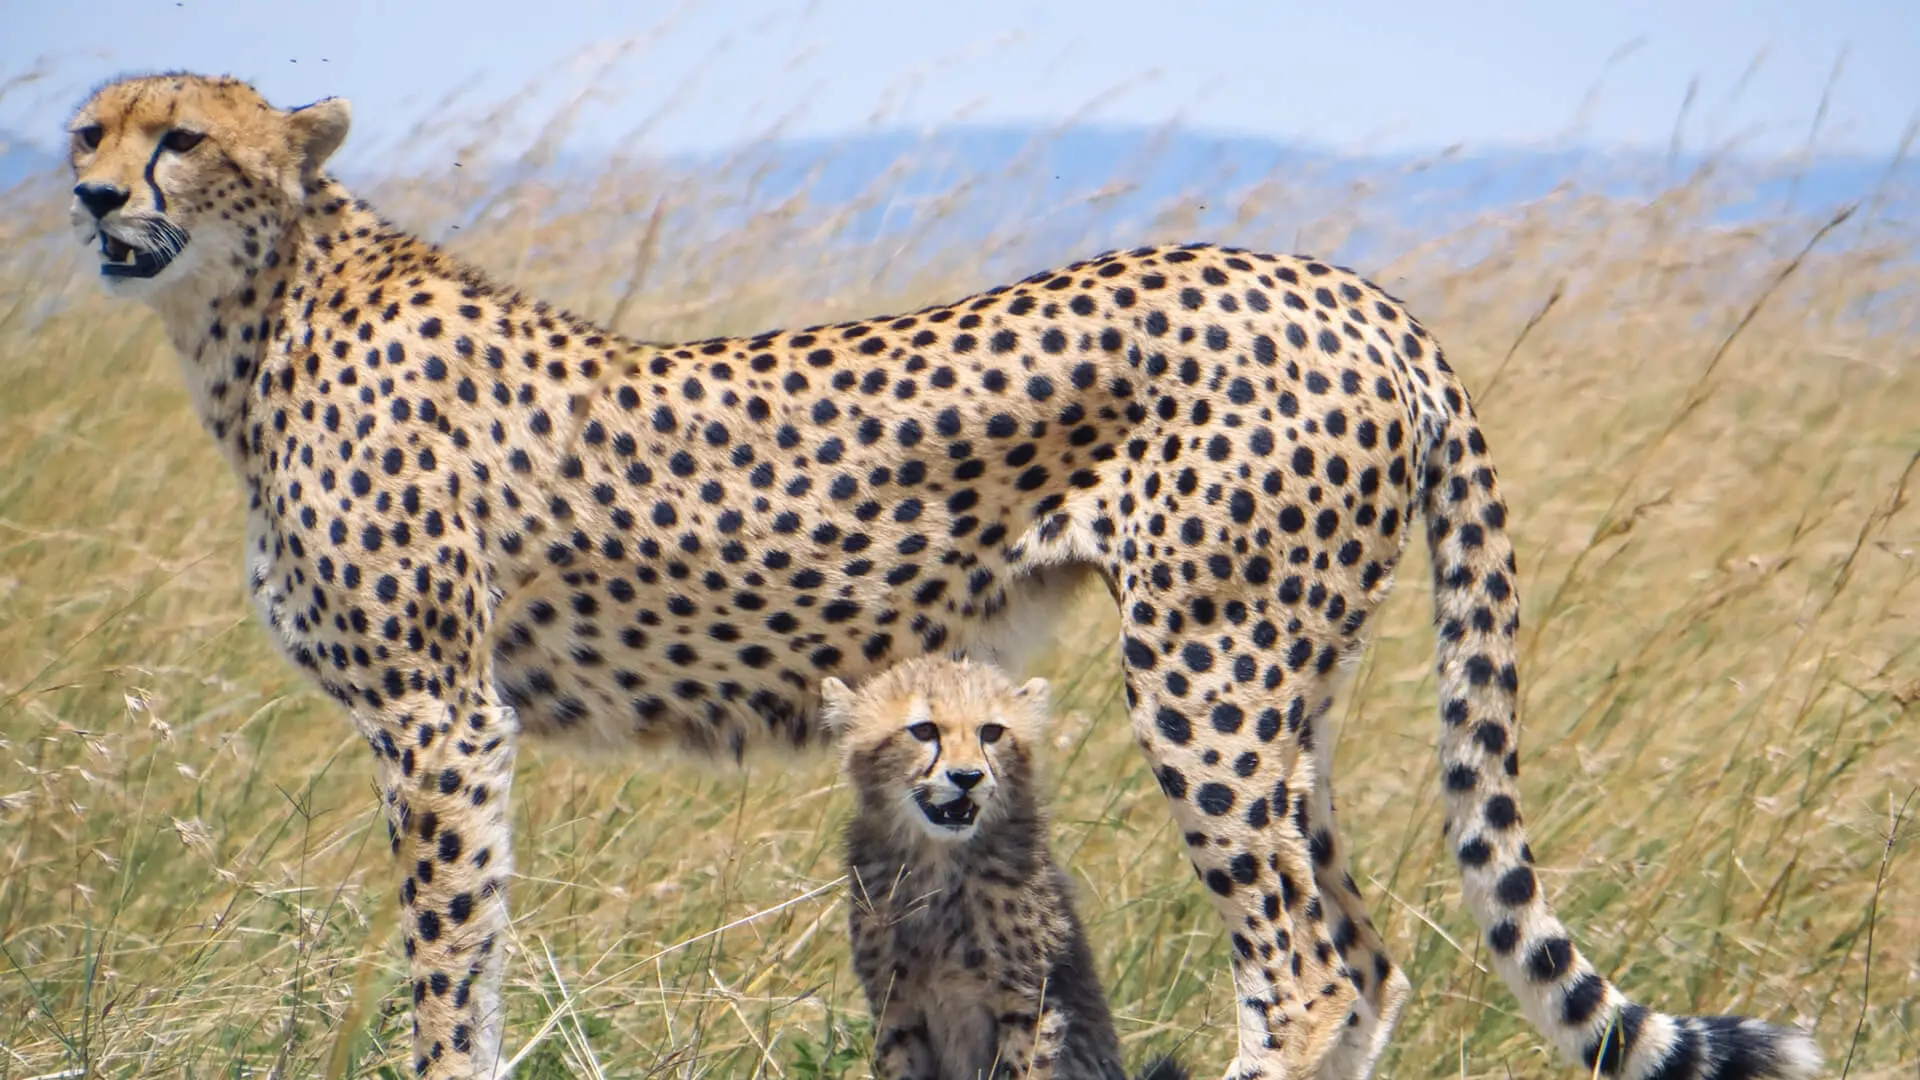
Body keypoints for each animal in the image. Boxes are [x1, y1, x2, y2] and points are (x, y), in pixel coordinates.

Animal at [822, 655, 1189, 1080]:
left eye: (992, 732)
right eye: (924, 730)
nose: (967, 777)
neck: (939, 863)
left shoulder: (1029, 1004)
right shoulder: (895, 1012)